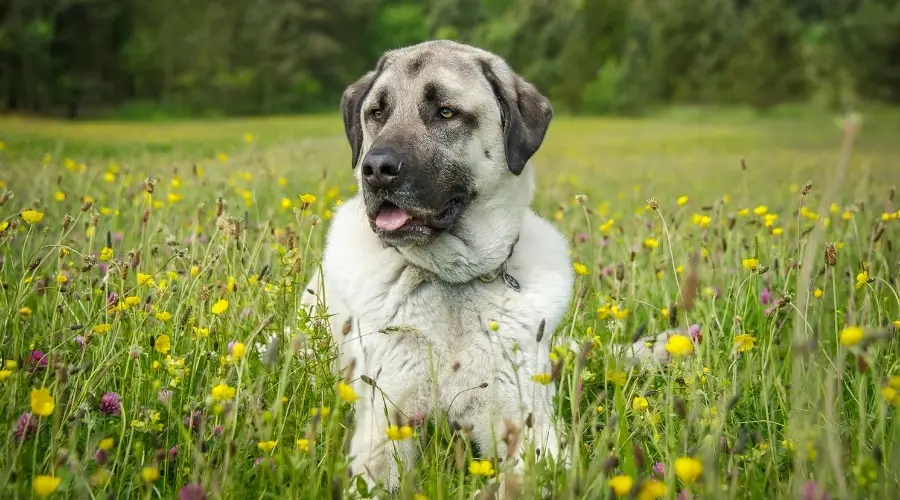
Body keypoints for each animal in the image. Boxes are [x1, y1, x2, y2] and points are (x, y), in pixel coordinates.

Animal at [298, 40, 572, 496]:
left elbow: (520, 481)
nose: (376, 169)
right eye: (377, 112)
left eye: (445, 112)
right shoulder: (384, 424)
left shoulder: (531, 427)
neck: (451, 281)